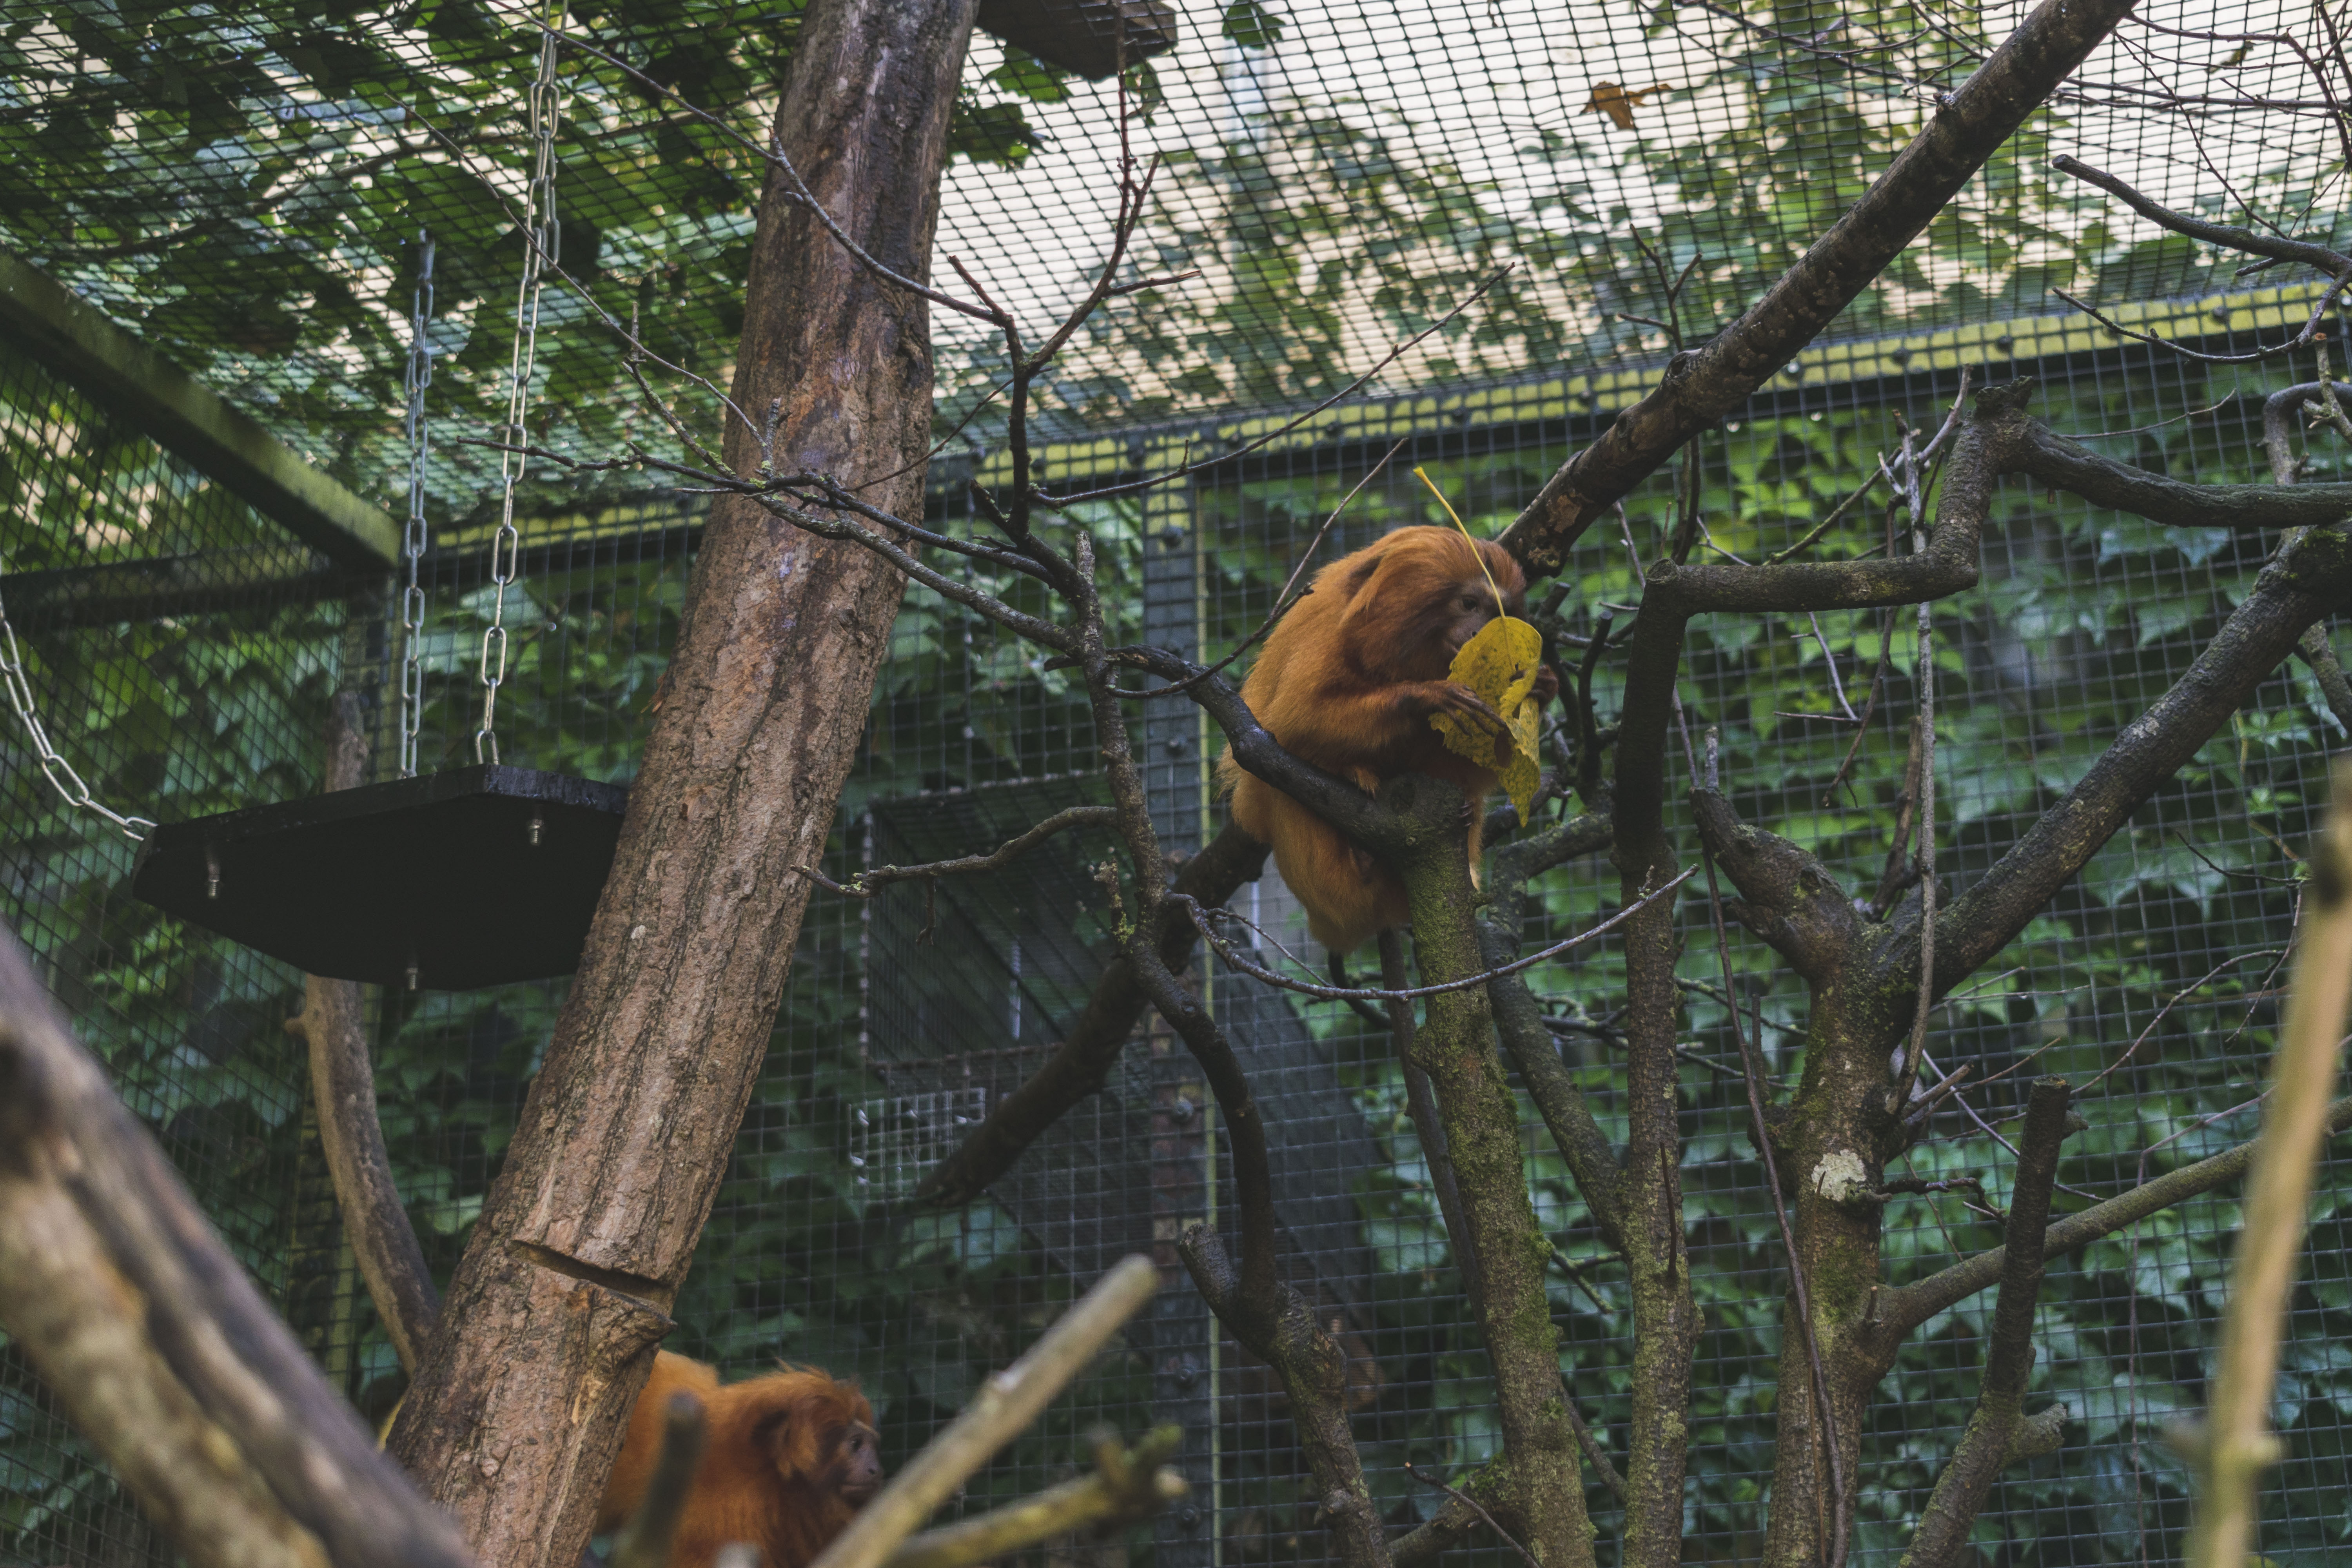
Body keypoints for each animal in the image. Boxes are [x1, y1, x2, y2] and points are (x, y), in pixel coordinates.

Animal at [1216, 525, 1558, 955]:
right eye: (1469, 604)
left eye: (1494, 614)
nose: (1480, 632)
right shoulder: (1329, 633)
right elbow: (1296, 720)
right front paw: (1426, 695)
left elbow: (1475, 759)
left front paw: (1541, 688)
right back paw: (1360, 846)